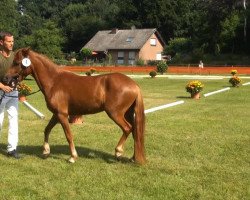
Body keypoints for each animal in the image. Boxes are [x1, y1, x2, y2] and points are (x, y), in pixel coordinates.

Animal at [13, 48, 146, 164]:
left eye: (16, 62)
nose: (9, 79)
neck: (54, 81)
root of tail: (134, 84)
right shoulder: (56, 114)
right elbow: (47, 129)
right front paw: (46, 151)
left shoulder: (62, 115)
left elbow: (68, 135)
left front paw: (72, 157)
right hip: (127, 114)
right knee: (135, 131)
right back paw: (133, 158)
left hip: (115, 113)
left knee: (127, 128)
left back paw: (118, 152)